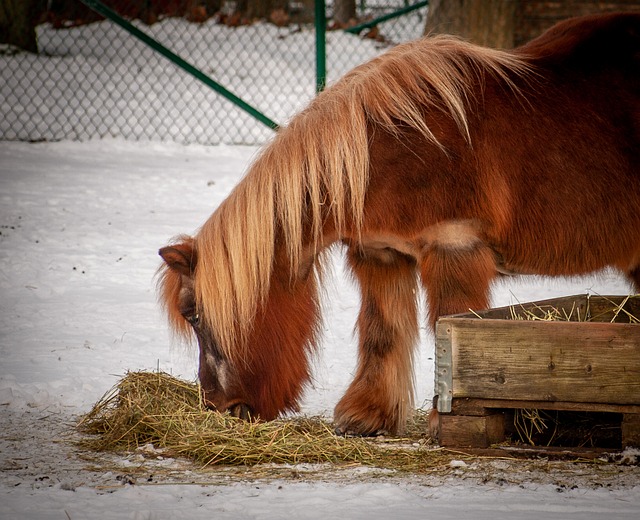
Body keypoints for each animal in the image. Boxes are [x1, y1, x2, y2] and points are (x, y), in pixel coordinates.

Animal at [159, 11, 640, 434]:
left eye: (195, 315)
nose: (218, 406)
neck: (390, 151)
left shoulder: (452, 249)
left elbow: (446, 328)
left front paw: (443, 420)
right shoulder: (381, 254)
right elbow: (382, 332)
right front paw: (367, 416)